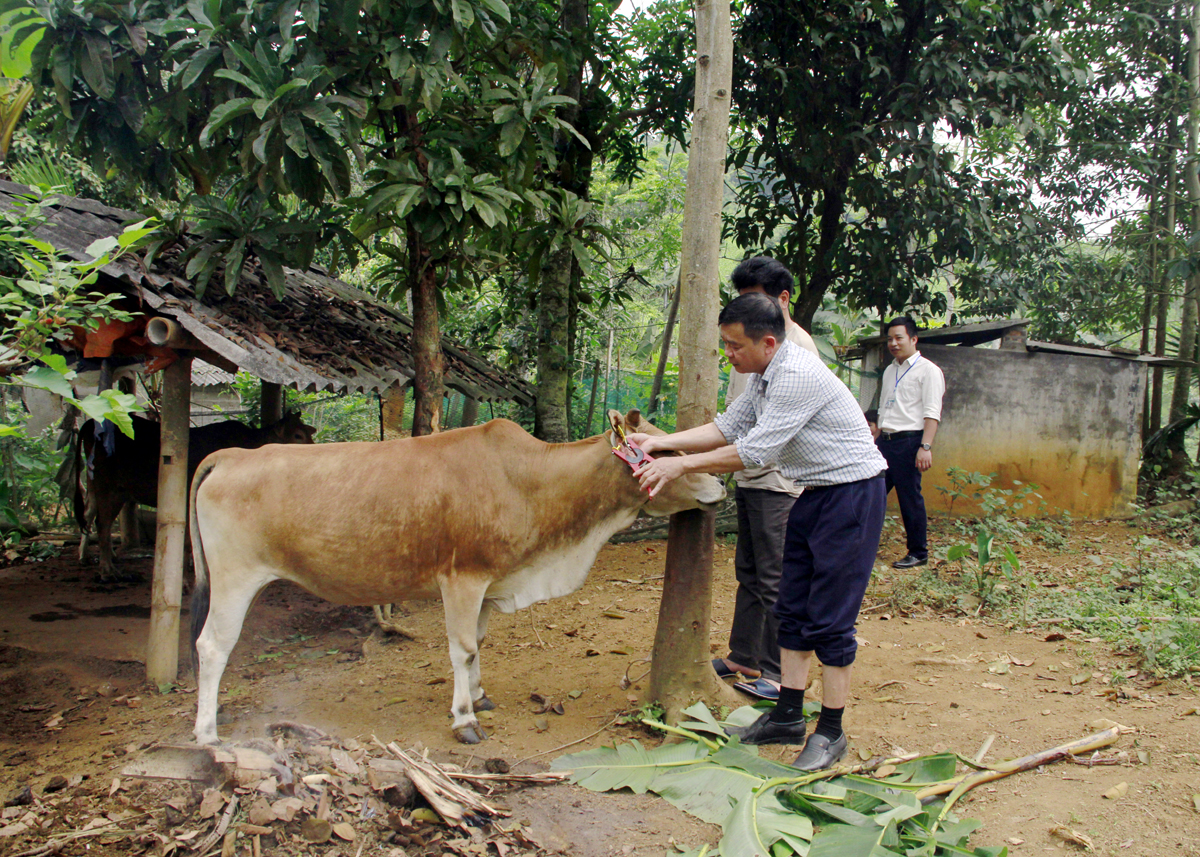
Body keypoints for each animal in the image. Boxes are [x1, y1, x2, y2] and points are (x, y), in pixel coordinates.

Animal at [76, 410, 314, 578]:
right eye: (298, 435)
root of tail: (89, 424)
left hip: (99, 485)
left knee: (88, 515)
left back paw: (88, 556)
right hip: (108, 487)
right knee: (102, 523)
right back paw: (107, 569)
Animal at [192, 408, 724, 739]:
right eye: (662, 452)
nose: (719, 485)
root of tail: (234, 455)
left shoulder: (488, 584)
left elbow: (479, 645)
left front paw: (480, 695)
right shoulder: (462, 579)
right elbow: (462, 648)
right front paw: (464, 718)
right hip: (234, 578)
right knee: (212, 646)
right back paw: (206, 732)